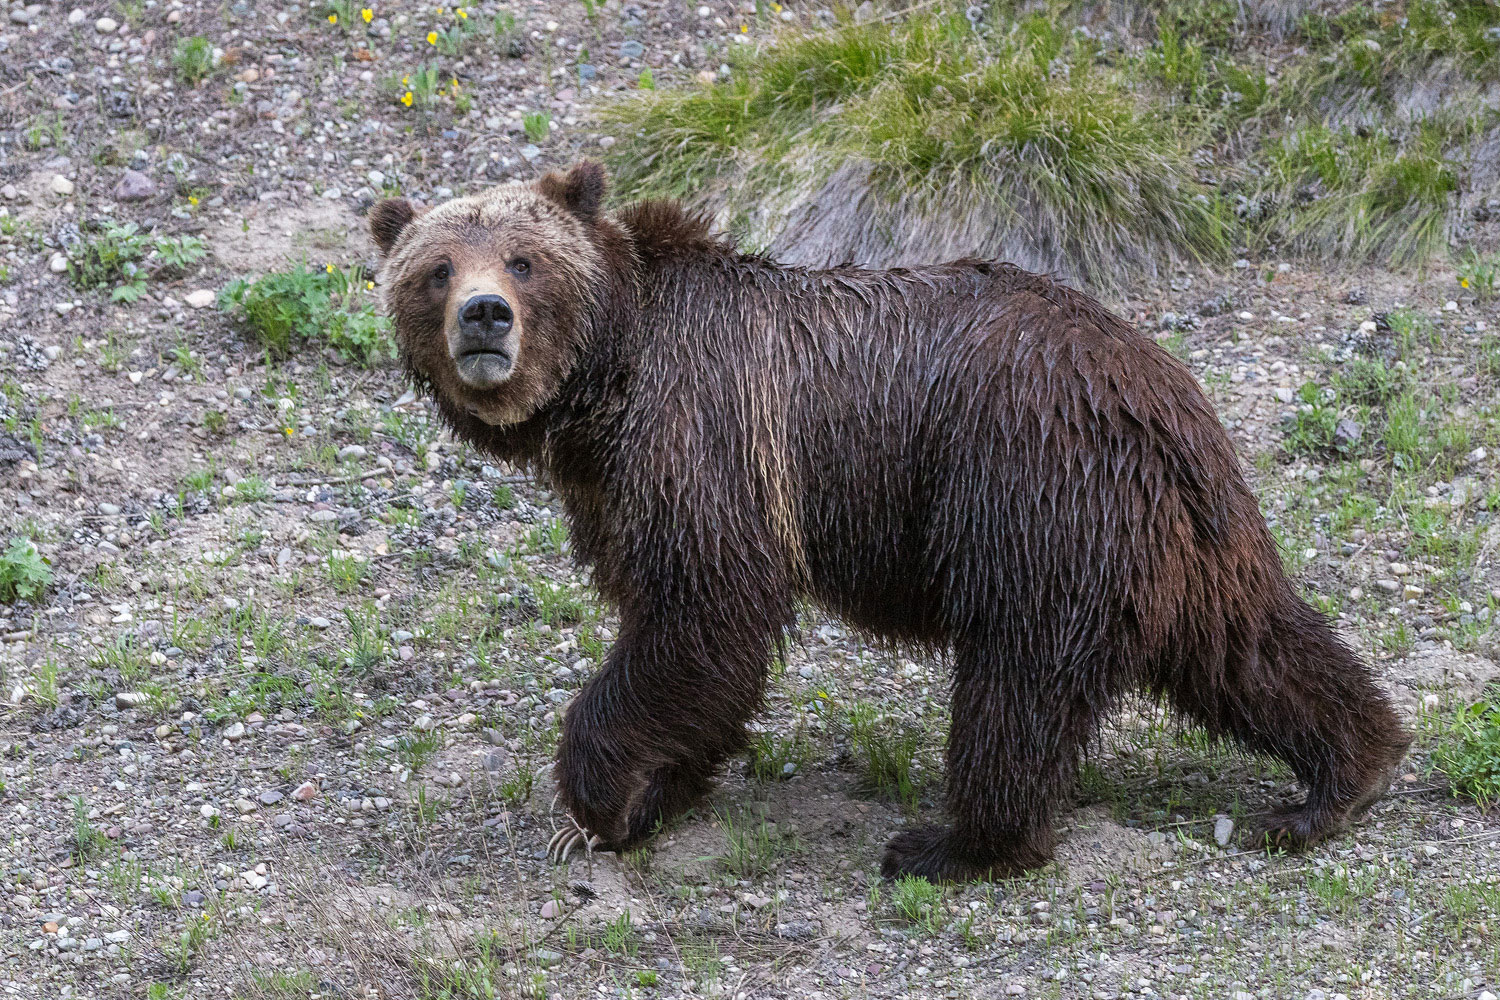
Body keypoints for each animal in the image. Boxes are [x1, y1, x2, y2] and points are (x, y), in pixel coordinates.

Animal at [369, 160, 1410, 881]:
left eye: (524, 258)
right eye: (435, 269)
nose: (486, 317)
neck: (605, 380)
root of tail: (1153, 393)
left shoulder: (702, 434)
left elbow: (704, 614)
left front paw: (598, 798)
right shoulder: (614, 490)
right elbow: (680, 639)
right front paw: (661, 787)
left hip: (1025, 492)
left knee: (1016, 686)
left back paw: (956, 842)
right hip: (1179, 535)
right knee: (1249, 646)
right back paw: (1342, 777)